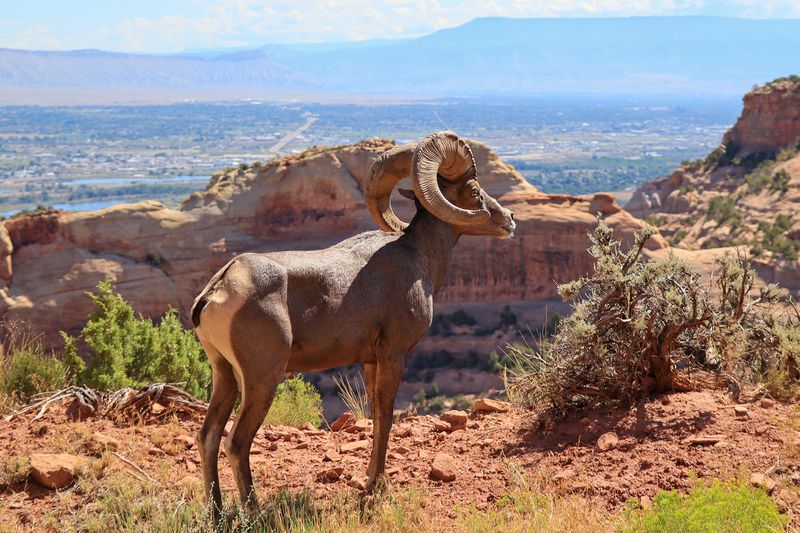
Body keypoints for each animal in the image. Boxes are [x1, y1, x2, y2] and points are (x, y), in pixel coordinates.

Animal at [195, 130, 520, 516]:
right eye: (473, 191)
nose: (509, 219)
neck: (417, 257)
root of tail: (219, 289)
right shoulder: (393, 355)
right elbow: (387, 416)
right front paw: (376, 487)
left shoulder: (370, 361)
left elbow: (377, 417)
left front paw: (371, 481)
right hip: (262, 378)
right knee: (237, 442)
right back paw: (255, 514)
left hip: (224, 375)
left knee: (209, 436)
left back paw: (217, 514)